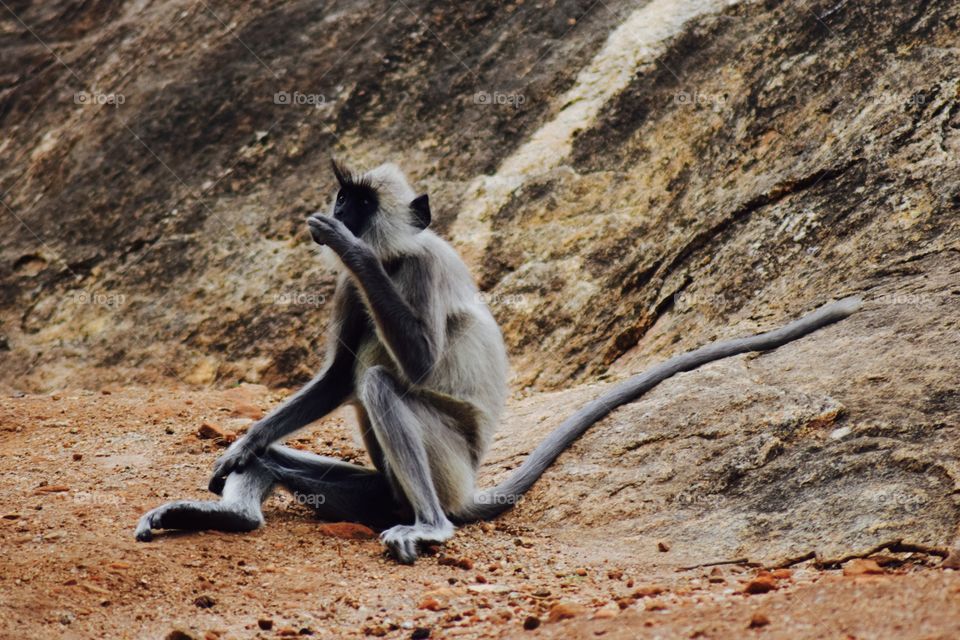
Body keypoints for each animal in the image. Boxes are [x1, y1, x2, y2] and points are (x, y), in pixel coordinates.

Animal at [135, 159, 862, 564]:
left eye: (360, 204)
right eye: (343, 196)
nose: (339, 211)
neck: (396, 258)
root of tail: (463, 494)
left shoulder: (422, 267)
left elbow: (411, 366)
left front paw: (351, 247)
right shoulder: (347, 291)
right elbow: (335, 378)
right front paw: (242, 444)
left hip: (447, 470)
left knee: (384, 385)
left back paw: (431, 529)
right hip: (376, 495)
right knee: (293, 455)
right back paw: (233, 509)